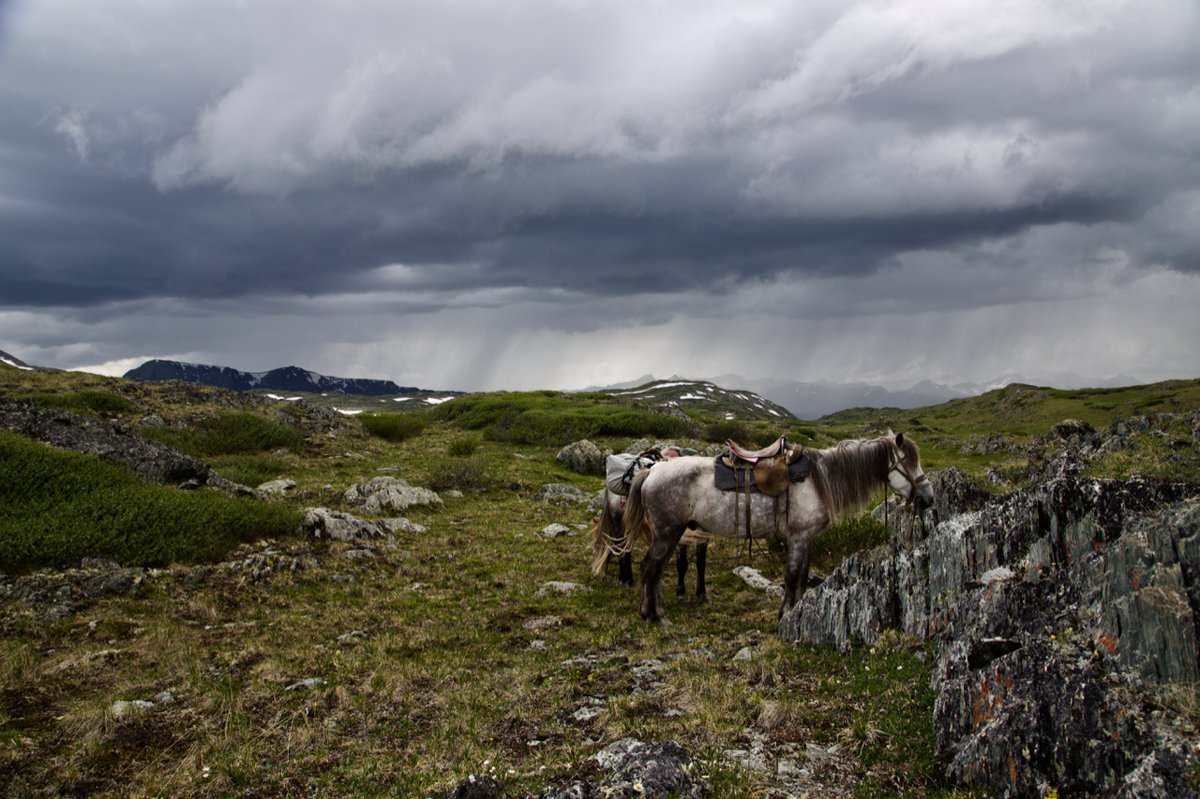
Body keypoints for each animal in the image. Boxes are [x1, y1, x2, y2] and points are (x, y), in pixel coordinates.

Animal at [624, 429, 931, 623]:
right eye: (908, 462)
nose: (927, 497)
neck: (818, 479)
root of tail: (652, 470)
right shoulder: (797, 537)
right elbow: (792, 576)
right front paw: (785, 615)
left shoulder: (806, 539)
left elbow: (803, 577)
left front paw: (796, 611)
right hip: (667, 534)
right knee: (650, 569)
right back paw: (653, 615)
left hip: (671, 534)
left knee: (653, 570)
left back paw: (656, 613)